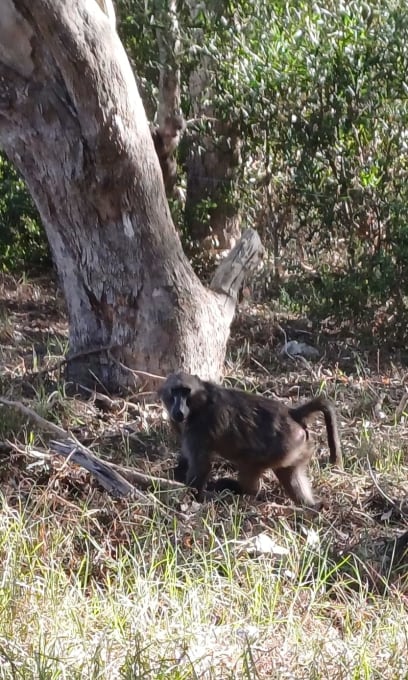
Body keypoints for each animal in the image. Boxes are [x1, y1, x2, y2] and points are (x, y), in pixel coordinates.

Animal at [158, 371, 342, 508]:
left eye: (185, 391)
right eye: (174, 391)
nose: (179, 411)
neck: (200, 401)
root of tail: (291, 412)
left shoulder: (199, 428)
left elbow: (201, 466)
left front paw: (191, 495)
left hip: (281, 447)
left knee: (250, 466)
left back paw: (236, 488)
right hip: (297, 448)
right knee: (290, 475)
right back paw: (311, 506)